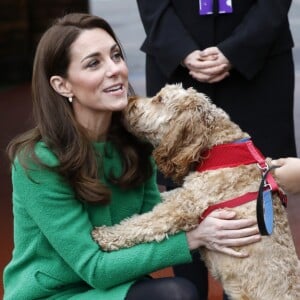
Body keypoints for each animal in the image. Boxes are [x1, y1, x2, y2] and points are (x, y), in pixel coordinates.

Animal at [92, 83, 300, 298]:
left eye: (159, 99)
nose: (128, 102)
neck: (216, 146)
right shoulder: (184, 194)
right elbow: (161, 198)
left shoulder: (184, 207)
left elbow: (142, 223)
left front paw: (105, 235)